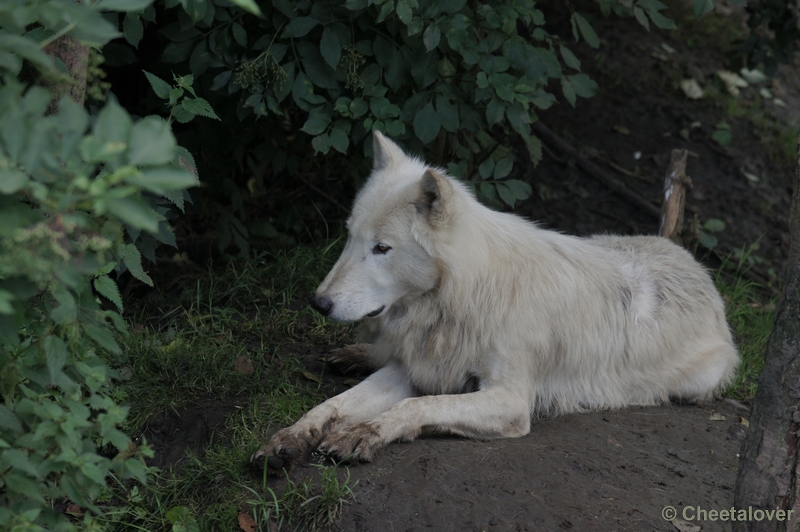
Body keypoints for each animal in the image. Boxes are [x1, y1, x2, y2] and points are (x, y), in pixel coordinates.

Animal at [250, 131, 736, 472]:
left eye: (382, 248)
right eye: (350, 236)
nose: (318, 303)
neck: (463, 298)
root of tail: (687, 256)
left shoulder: (510, 401)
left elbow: (417, 405)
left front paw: (364, 432)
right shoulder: (419, 368)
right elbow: (330, 406)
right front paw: (290, 438)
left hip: (697, 383)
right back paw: (354, 353)